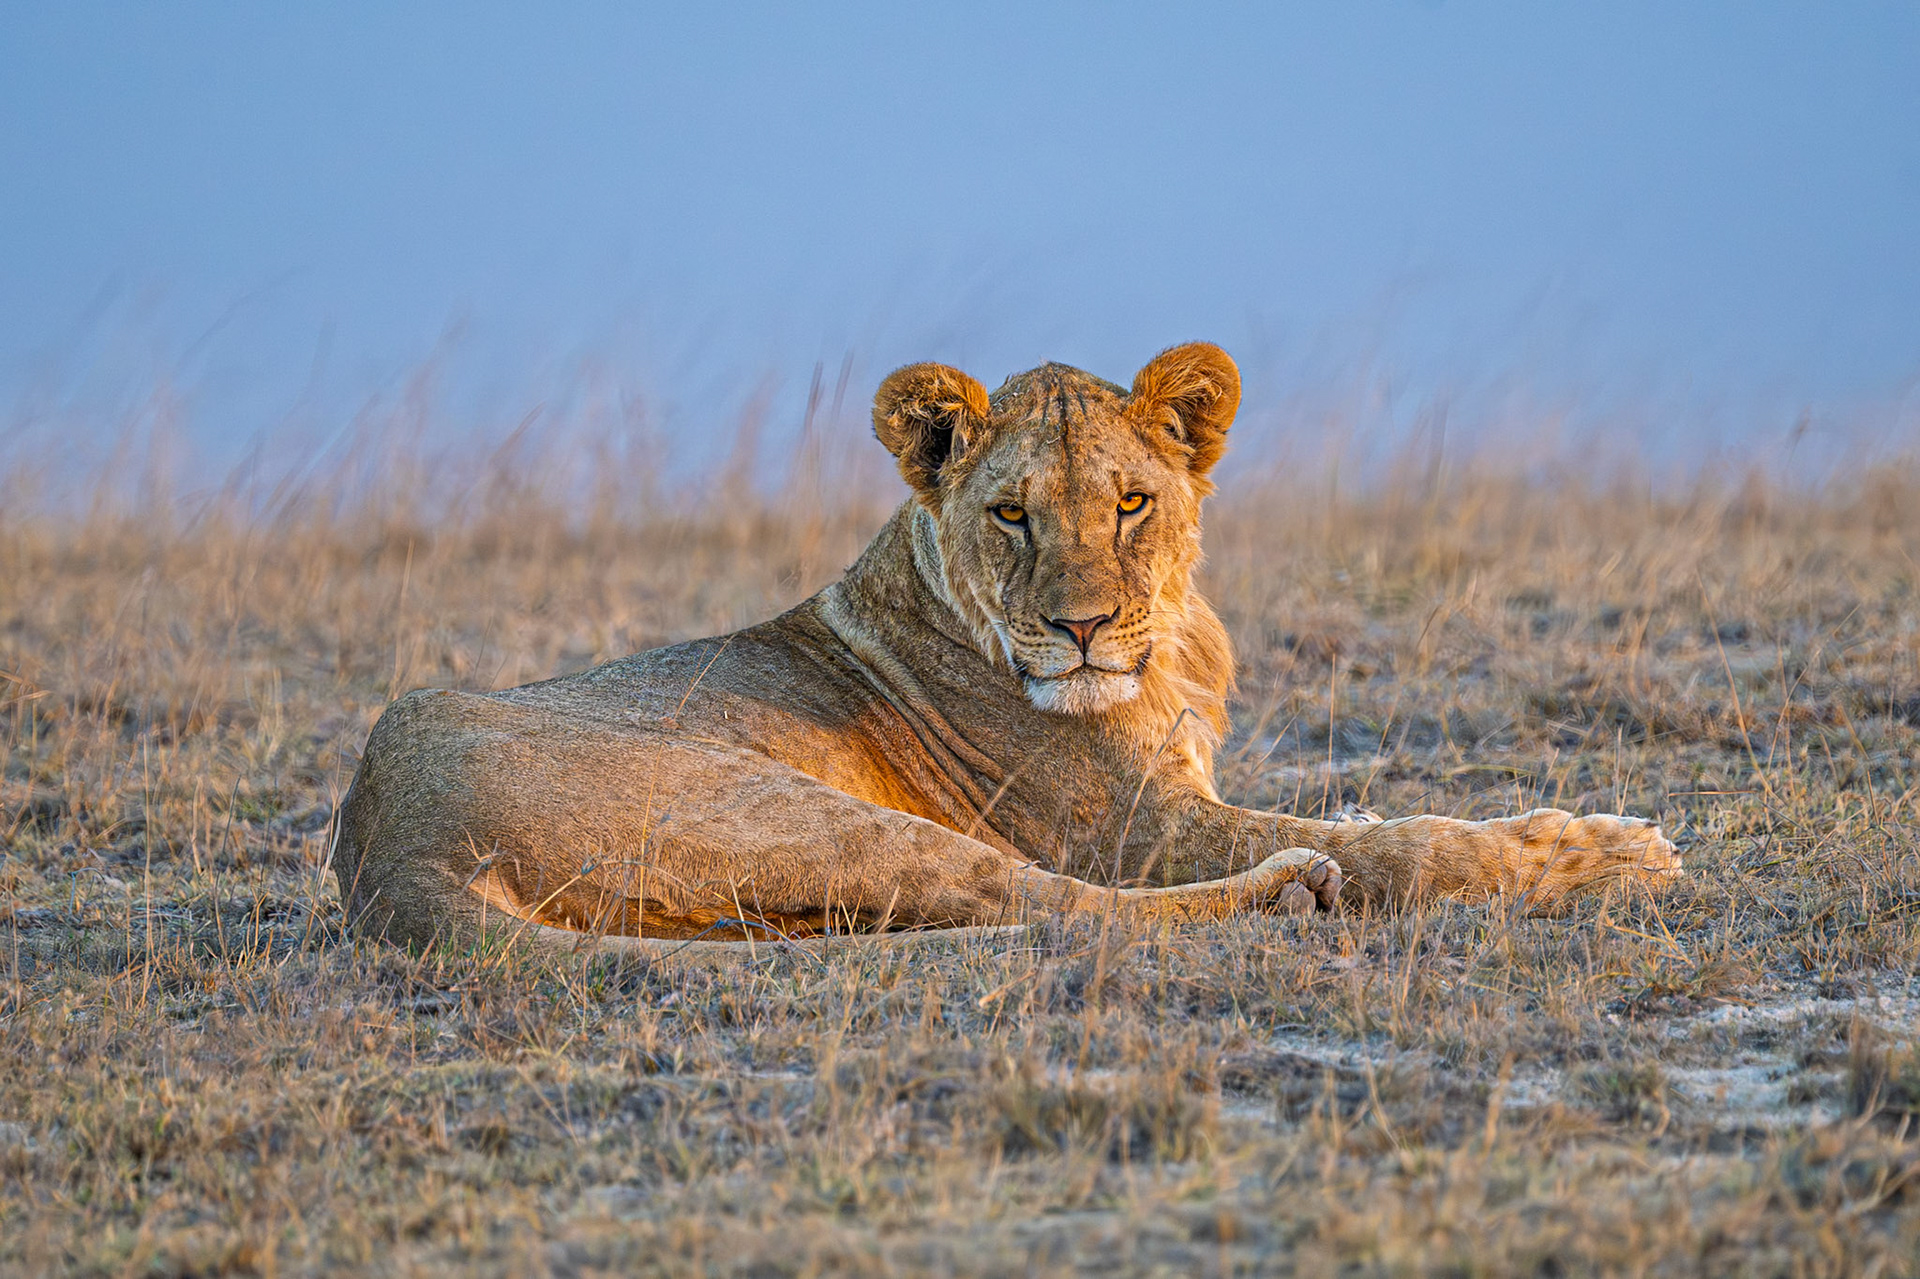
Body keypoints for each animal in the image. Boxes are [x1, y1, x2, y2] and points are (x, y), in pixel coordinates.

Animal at [331, 343, 1680, 956]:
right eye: (1012, 513)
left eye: (1130, 504)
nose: (1081, 627)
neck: (1171, 648)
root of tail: (380, 844)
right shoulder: (1135, 827)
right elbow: (1409, 844)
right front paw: (1605, 850)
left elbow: (1372, 809)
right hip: (785, 801)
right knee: (1049, 906)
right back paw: (1290, 886)